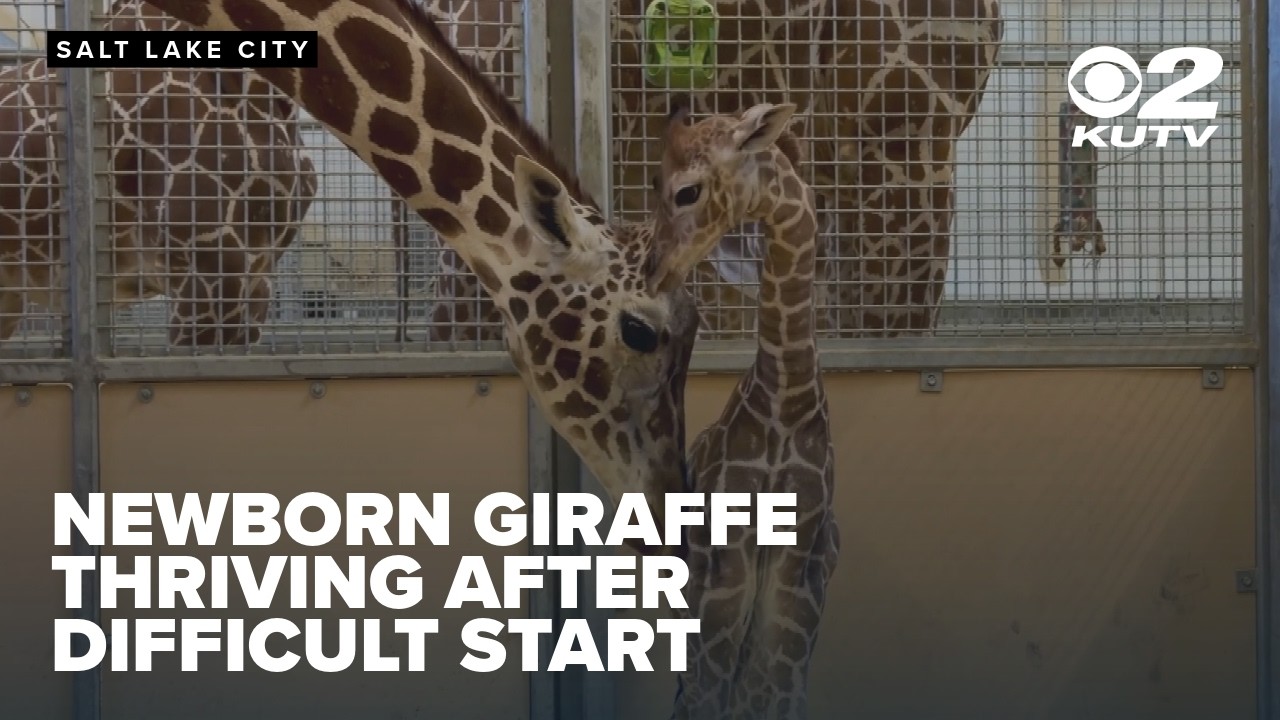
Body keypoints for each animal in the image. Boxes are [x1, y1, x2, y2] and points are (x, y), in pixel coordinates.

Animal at [653, 100, 837, 719]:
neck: (784, 401)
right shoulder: (726, 558)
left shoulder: (798, 564)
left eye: (686, 191)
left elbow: (772, 694)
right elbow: (709, 695)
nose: (656, 269)